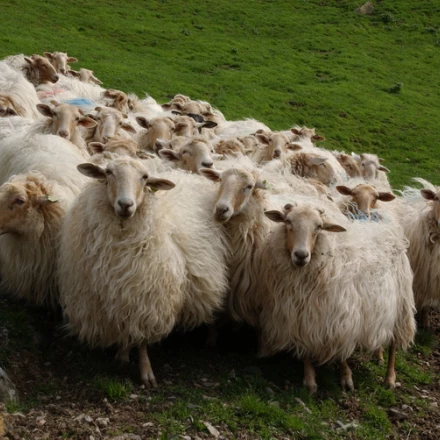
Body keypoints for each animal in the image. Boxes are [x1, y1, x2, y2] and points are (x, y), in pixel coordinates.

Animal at [58, 157, 229, 384]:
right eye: (109, 172)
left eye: (145, 177)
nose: (125, 204)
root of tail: (187, 175)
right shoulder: (116, 295)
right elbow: (123, 328)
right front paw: (122, 355)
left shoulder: (148, 296)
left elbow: (141, 339)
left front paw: (146, 370)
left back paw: (211, 338)